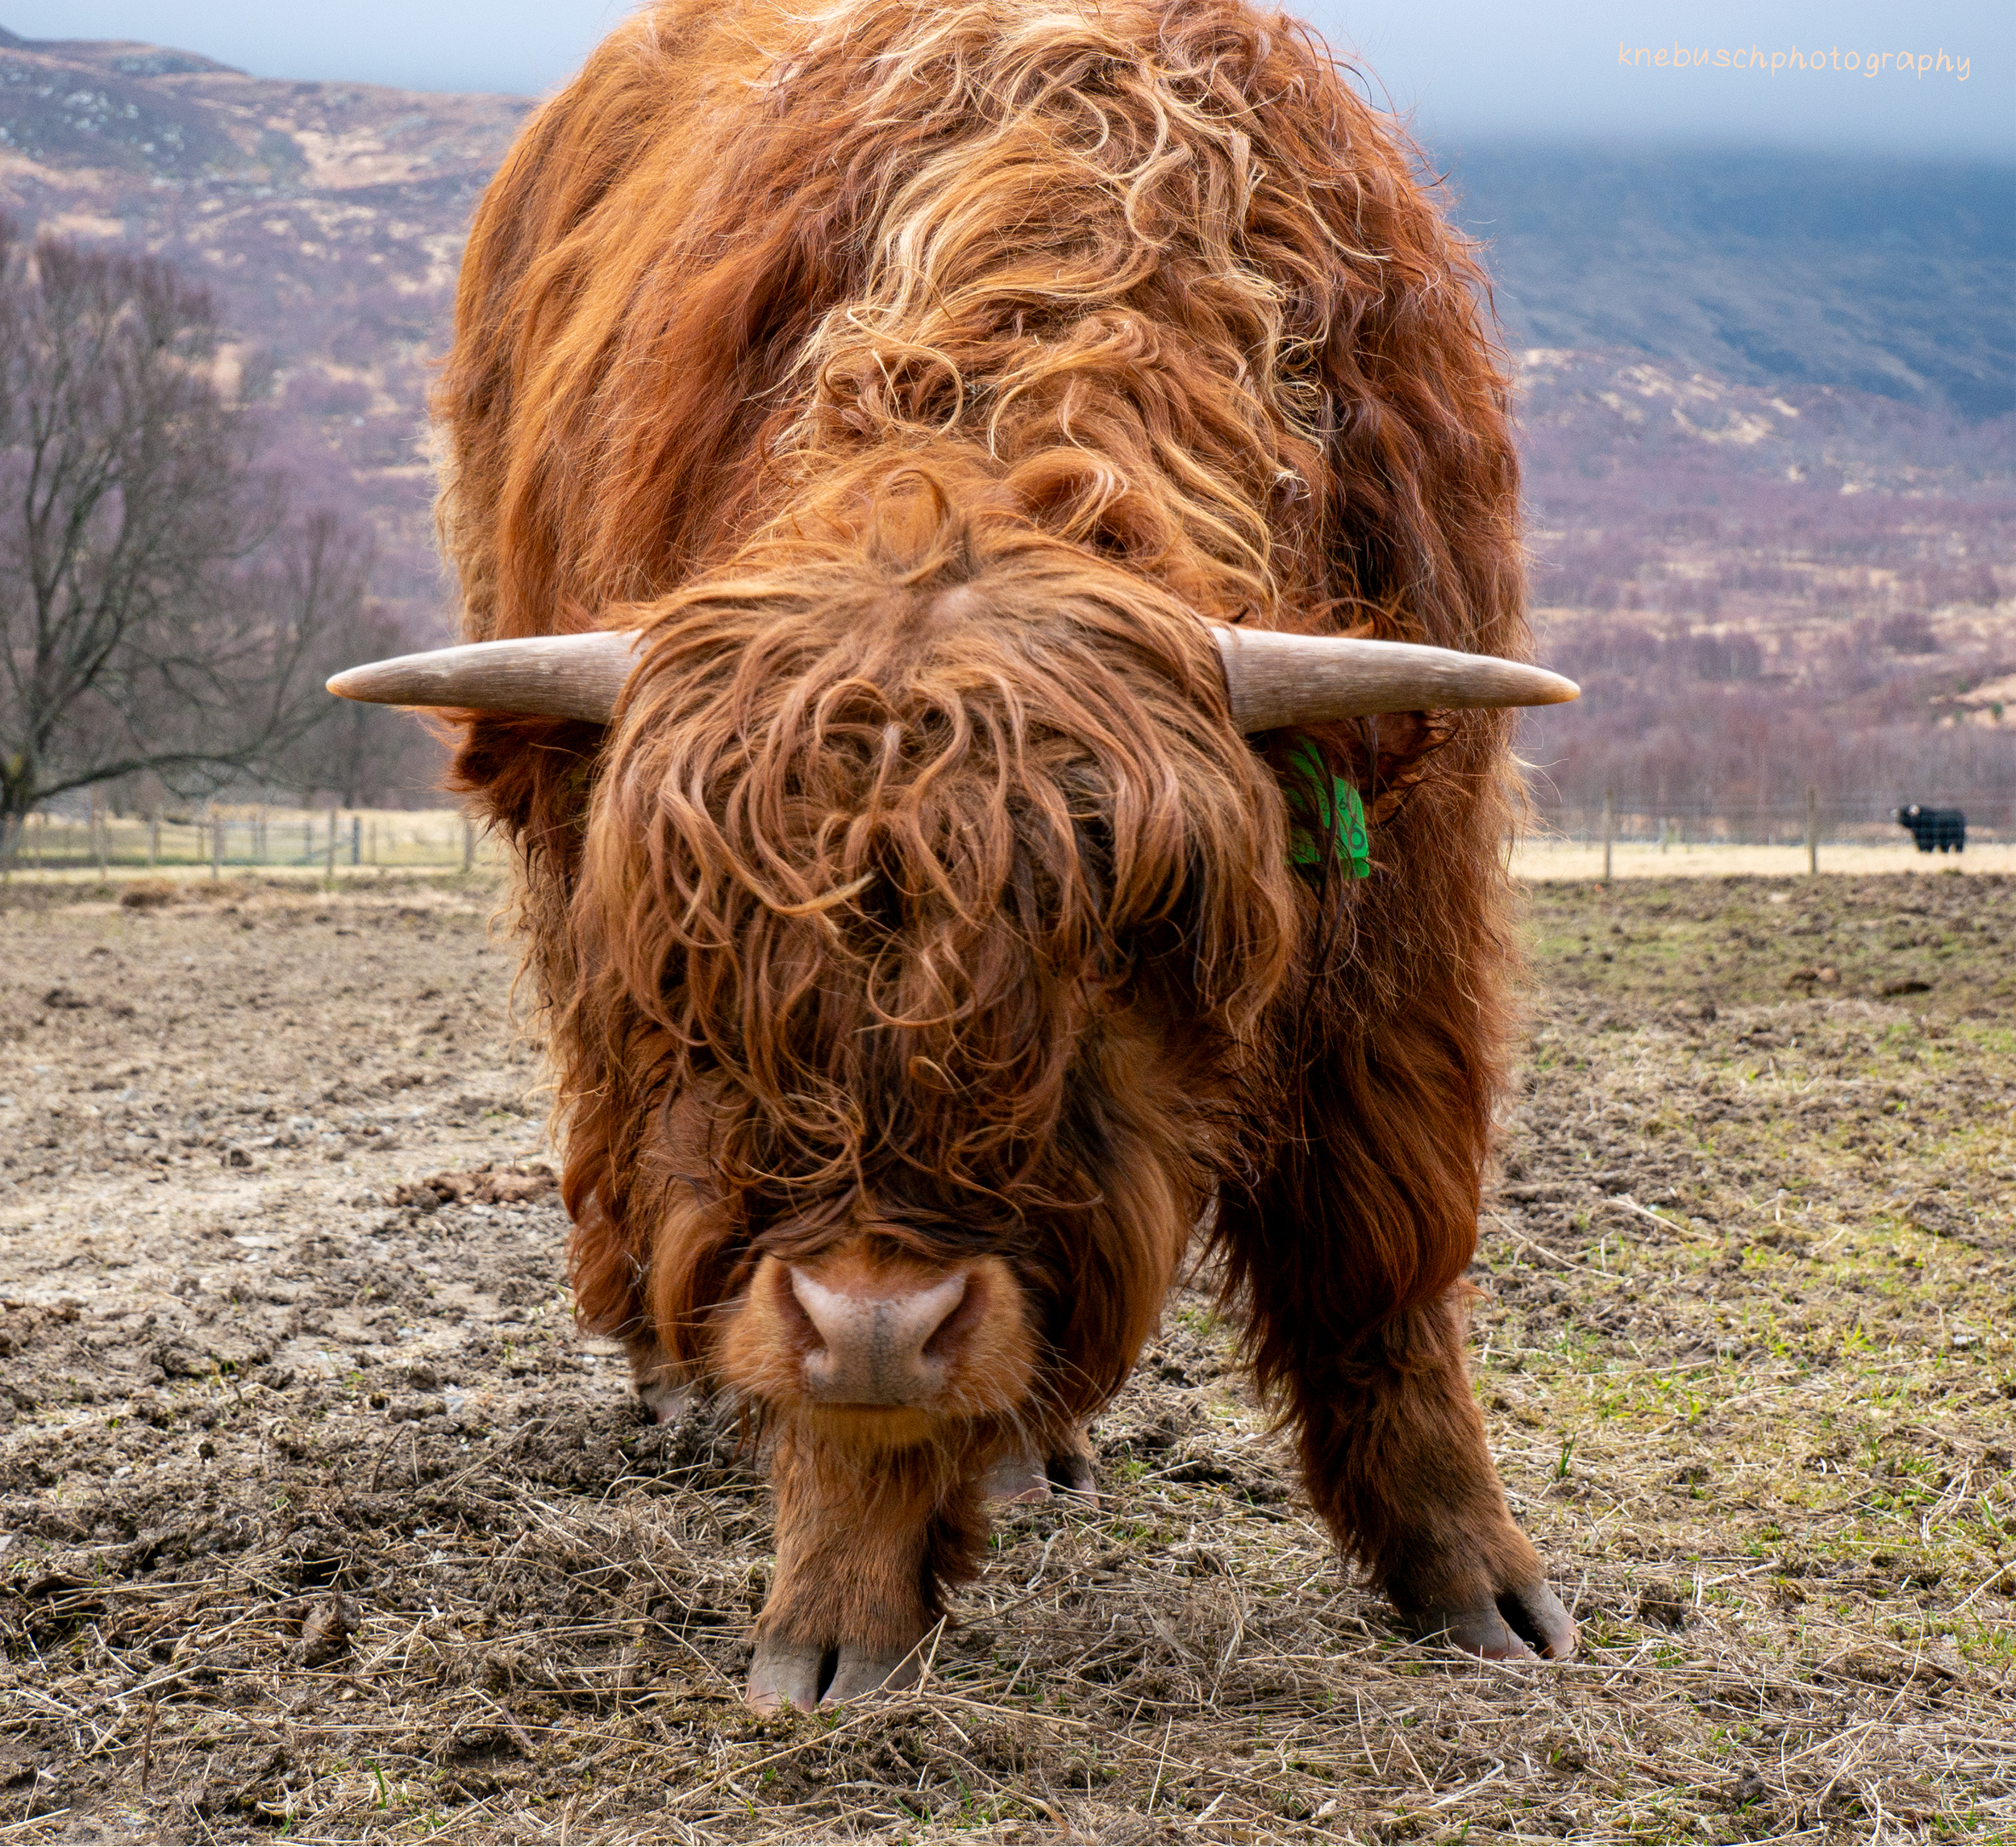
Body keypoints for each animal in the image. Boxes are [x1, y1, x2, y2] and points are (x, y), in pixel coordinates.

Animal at [331, 0, 1584, 1709]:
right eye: (709, 980)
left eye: (1114, 945)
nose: (878, 1320)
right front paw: (839, 1609)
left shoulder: (1410, 902)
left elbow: (1380, 1254)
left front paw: (1477, 1579)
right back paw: (679, 1378)